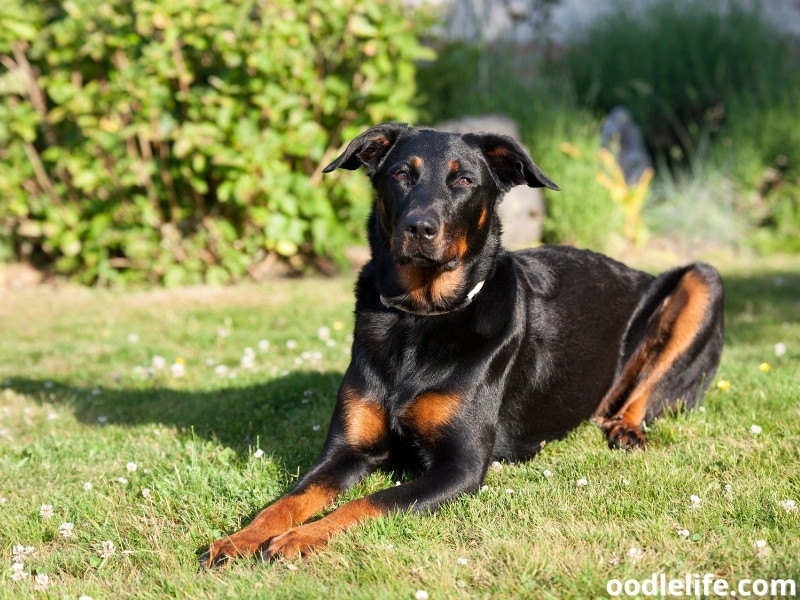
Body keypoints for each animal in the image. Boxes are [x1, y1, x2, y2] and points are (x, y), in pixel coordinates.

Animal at [200, 123, 724, 568]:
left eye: (465, 180)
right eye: (401, 174)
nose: (420, 227)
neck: (418, 319)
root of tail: (639, 272)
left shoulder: (460, 467)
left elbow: (368, 503)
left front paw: (300, 538)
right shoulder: (345, 451)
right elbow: (288, 498)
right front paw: (239, 538)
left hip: (703, 279)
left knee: (645, 391)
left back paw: (626, 427)